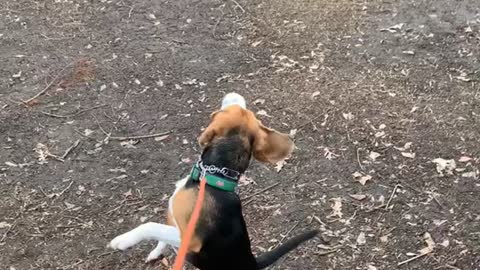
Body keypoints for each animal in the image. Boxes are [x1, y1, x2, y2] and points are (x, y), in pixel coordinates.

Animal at [109, 92, 318, 268]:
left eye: (234, 109)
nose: (236, 93)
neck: (214, 177)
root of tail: (253, 262)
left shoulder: (189, 239)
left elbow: (151, 226)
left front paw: (124, 240)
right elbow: (161, 235)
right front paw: (156, 251)